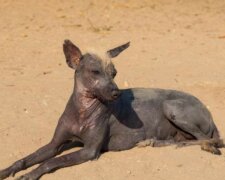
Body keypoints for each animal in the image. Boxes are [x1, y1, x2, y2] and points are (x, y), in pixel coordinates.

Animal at [0, 40, 223, 179]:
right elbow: (26, 159)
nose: (117, 93)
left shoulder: (89, 151)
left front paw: (29, 175)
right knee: (183, 140)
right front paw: (9, 170)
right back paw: (153, 142)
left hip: (171, 107)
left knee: (211, 140)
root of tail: (210, 115)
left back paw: (202, 145)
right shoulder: (55, 144)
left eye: (114, 73)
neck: (83, 109)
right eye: (95, 72)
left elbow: (50, 162)